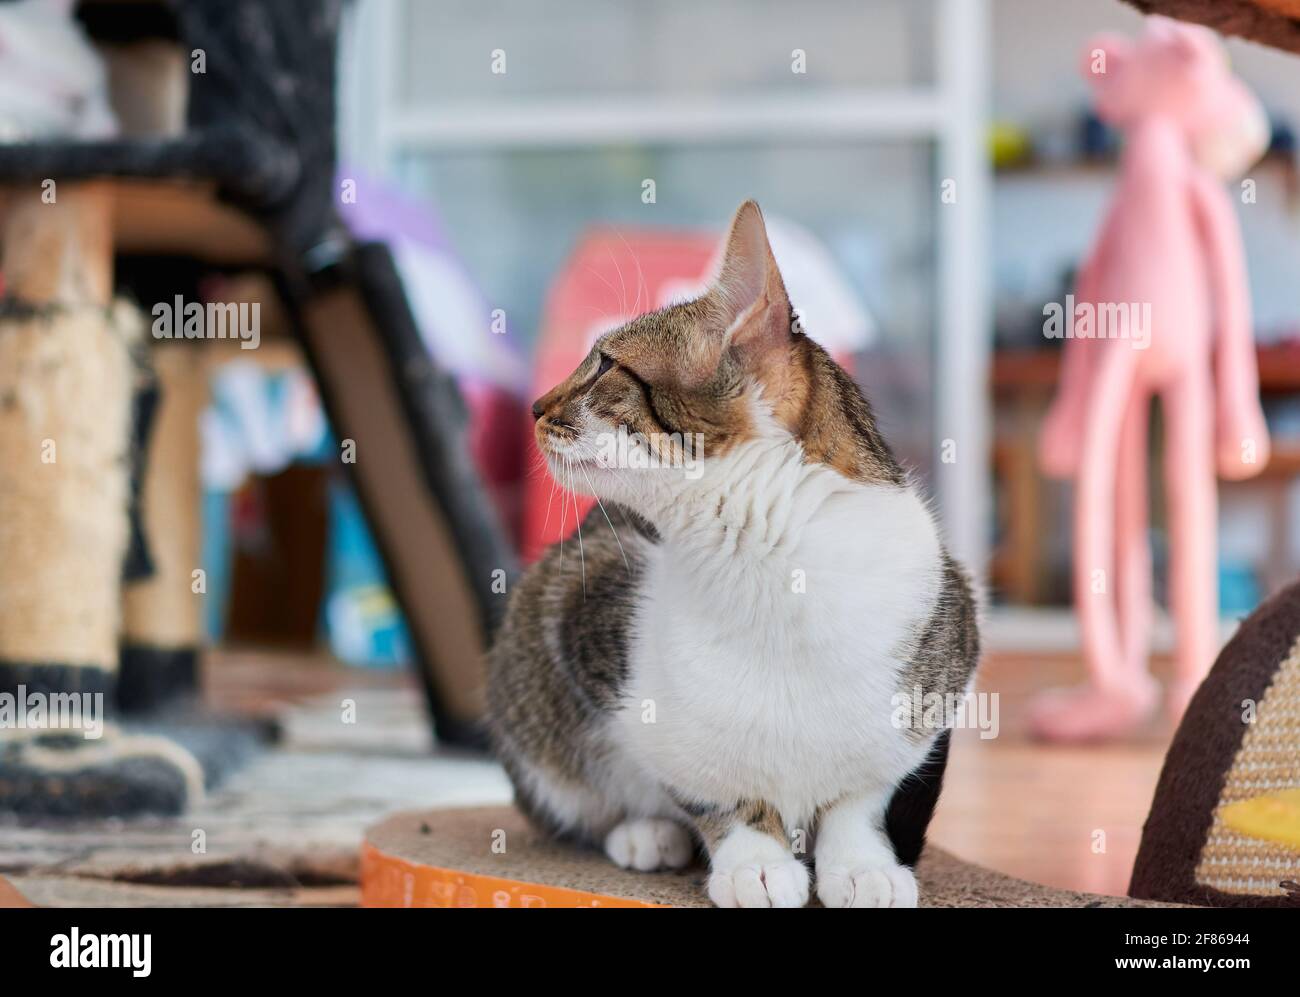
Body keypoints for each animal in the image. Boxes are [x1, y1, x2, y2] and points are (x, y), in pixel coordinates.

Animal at [488, 198, 977, 909]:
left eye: (603, 364)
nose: (533, 406)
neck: (773, 567)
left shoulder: (941, 661)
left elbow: (866, 788)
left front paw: (862, 861)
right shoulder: (586, 609)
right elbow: (703, 777)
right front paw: (755, 856)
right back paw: (644, 833)